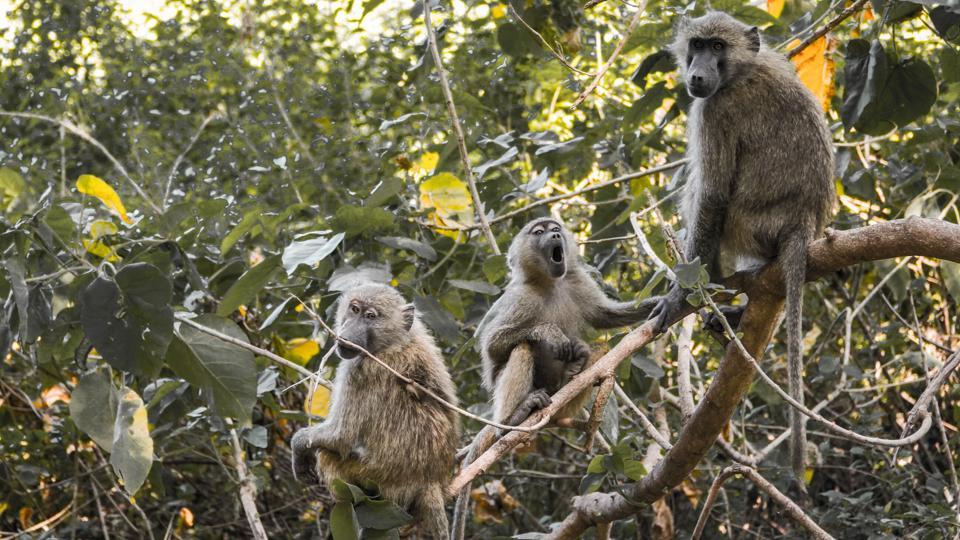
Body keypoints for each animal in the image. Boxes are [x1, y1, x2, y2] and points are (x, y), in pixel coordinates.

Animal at [291, 283, 459, 539]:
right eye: (354, 309)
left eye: (370, 317)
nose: (347, 334)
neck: (393, 343)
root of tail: (430, 479)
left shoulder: (357, 370)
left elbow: (341, 436)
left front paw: (299, 447)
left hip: (379, 479)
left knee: (327, 456)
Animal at [647, 12, 836, 482]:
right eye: (697, 44)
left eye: (718, 47)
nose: (697, 75)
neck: (742, 71)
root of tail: (801, 223)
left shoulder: (715, 111)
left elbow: (712, 195)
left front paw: (680, 298)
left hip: (749, 225)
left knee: (700, 194)